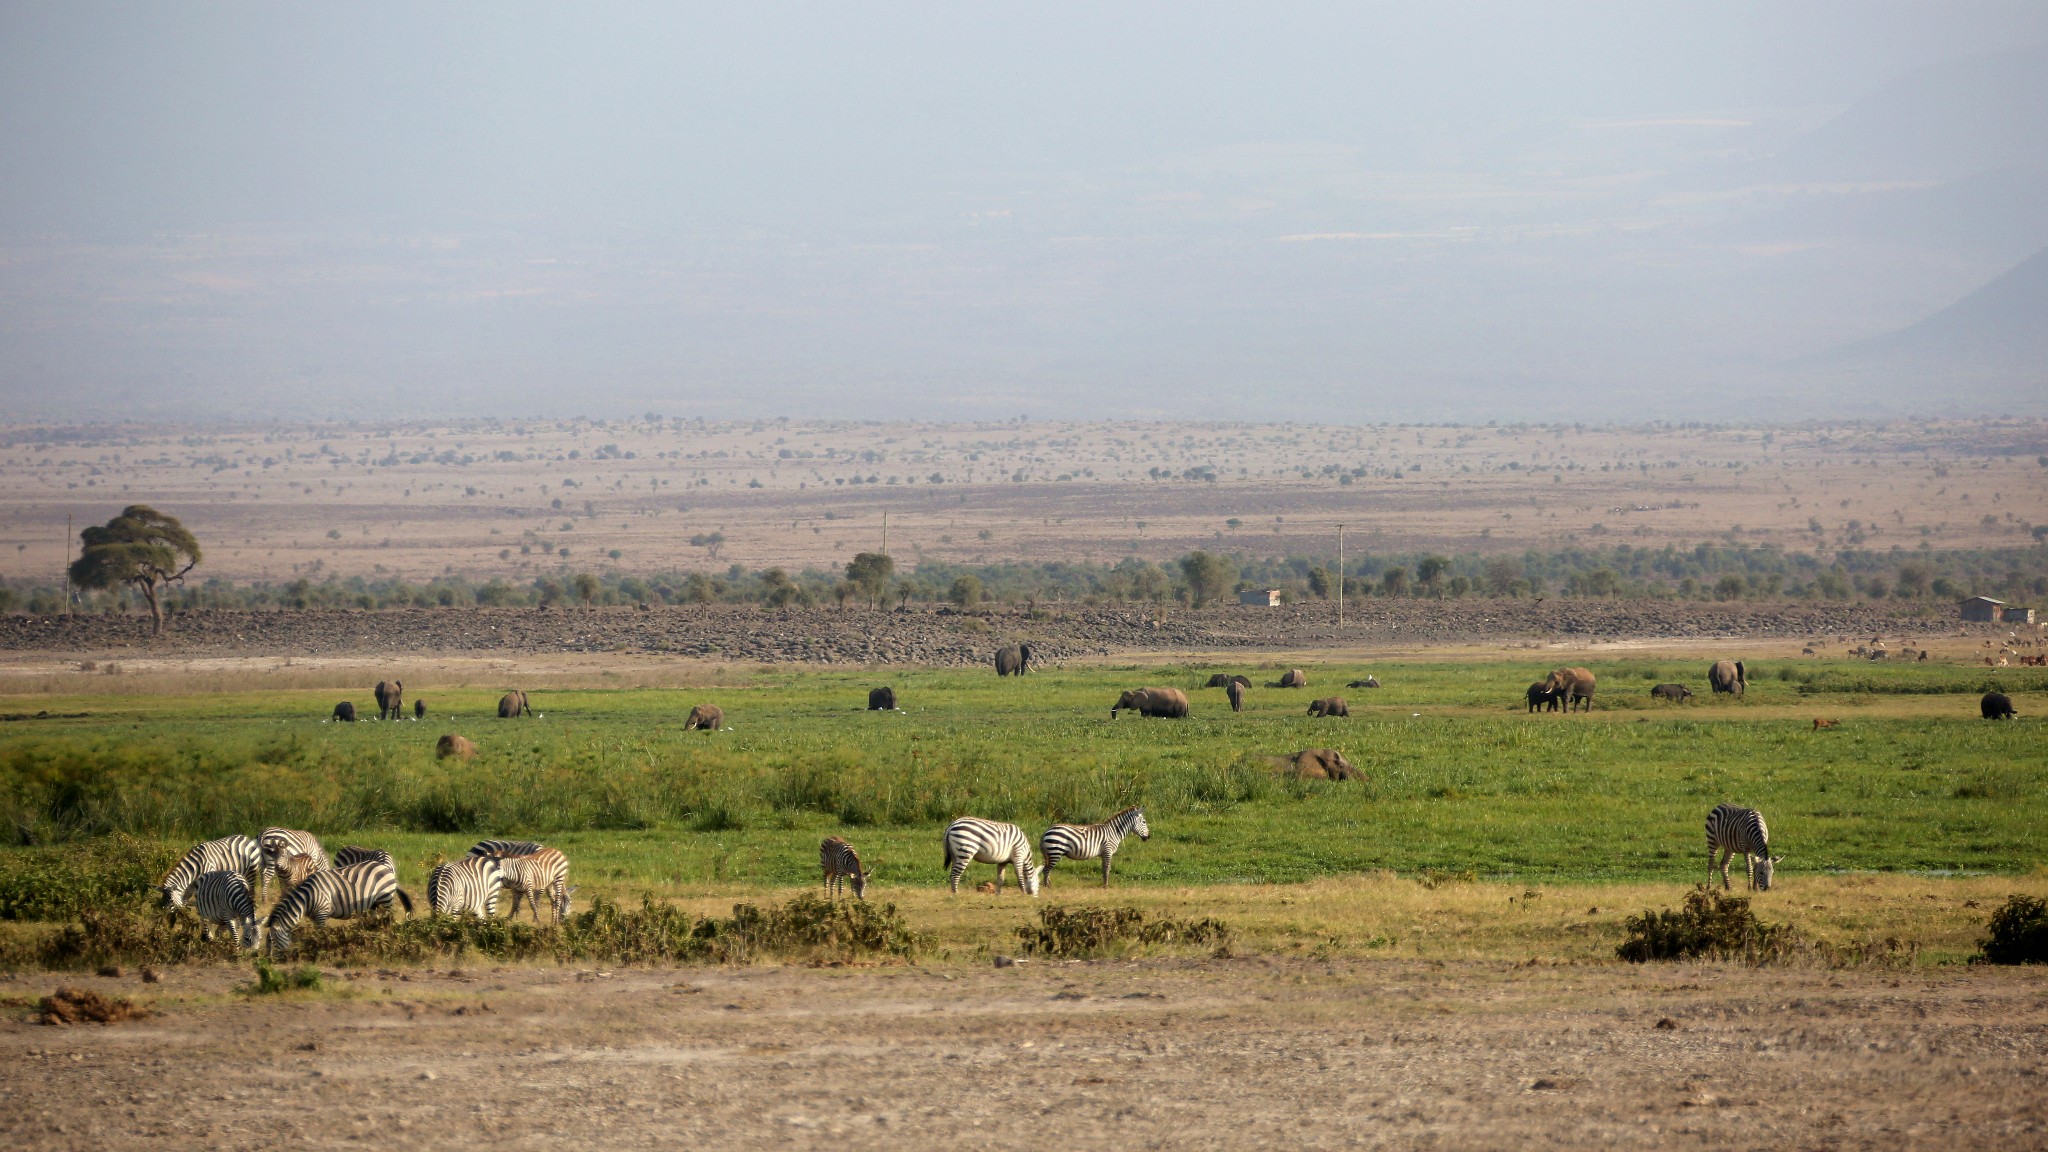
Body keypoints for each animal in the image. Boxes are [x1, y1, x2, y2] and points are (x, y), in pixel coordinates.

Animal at [266, 860, 413, 951]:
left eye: (273, 941)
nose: (271, 961)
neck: (307, 899)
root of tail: (386, 869)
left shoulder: (321, 913)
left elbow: (320, 933)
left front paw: (318, 947)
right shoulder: (315, 916)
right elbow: (314, 933)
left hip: (385, 899)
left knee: (386, 921)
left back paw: (385, 940)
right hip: (374, 905)